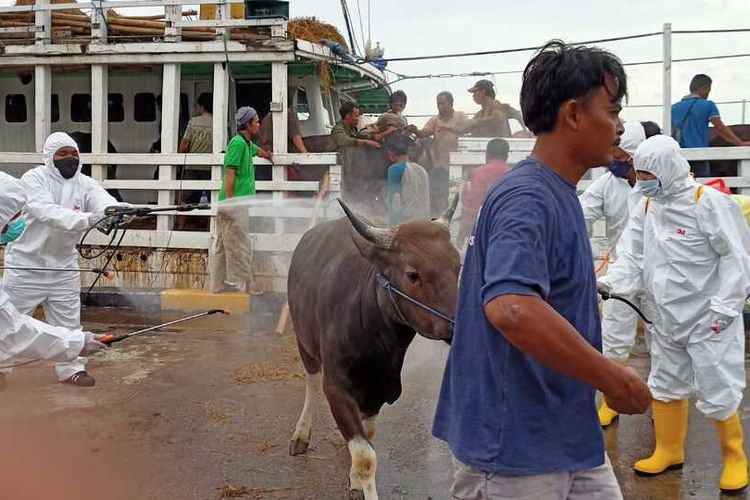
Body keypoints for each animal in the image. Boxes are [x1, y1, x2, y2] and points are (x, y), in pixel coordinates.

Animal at [288, 197, 462, 498]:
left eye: (459, 265)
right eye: (413, 274)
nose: (460, 323)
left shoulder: (377, 394)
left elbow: (366, 441)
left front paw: (354, 480)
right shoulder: (337, 388)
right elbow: (366, 457)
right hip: (304, 343)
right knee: (311, 381)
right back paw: (301, 433)